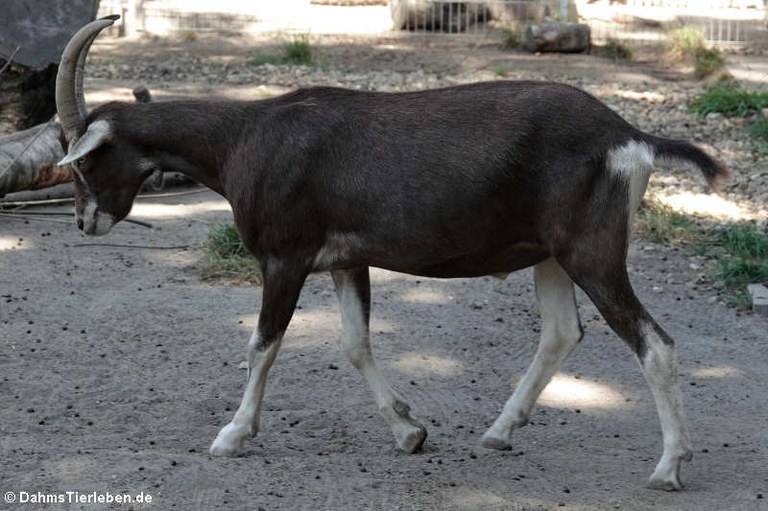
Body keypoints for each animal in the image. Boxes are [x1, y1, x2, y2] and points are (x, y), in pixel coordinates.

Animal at [58, 15, 728, 492]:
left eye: (83, 159)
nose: (85, 221)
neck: (242, 140)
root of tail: (629, 136)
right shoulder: (345, 261)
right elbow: (355, 344)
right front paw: (410, 432)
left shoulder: (285, 257)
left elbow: (262, 345)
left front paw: (231, 435)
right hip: (551, 255)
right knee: (563, 331)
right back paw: (499, 432)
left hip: (592, 251)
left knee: (654, 342)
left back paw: (669, 467)